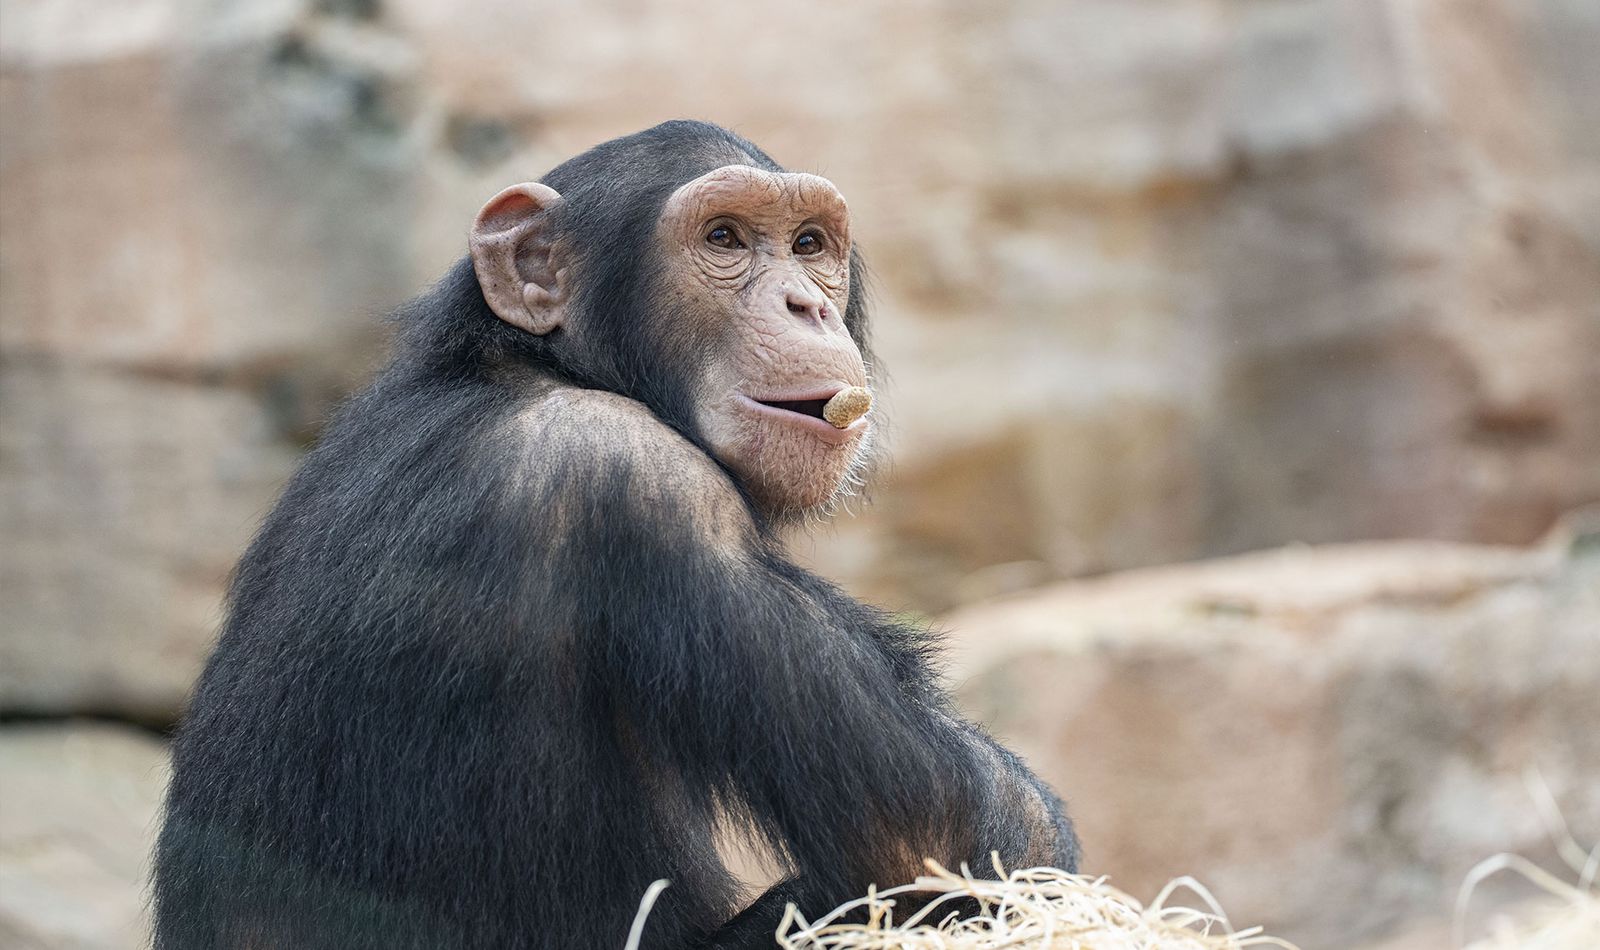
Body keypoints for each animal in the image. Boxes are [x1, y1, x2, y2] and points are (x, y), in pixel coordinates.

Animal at [152, 119, 1075, 946]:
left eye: (810, 244)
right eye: (724, 237)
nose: (807, 304)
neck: (540, 367)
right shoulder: (650, 485)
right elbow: (940, 838)